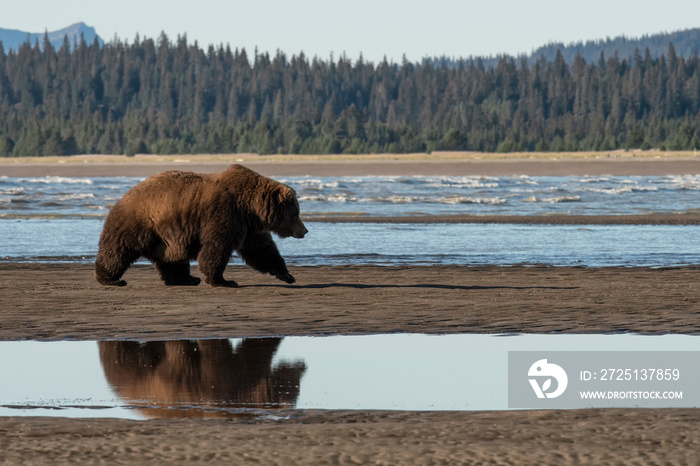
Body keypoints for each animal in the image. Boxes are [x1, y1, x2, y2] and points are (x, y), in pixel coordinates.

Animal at [95, 164, 306, 288]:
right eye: (296, 213)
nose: (304, 230)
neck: (250, 207)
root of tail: (122, 198)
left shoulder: (249, 228)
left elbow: (262, 251)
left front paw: (287, 275)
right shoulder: (225, 214)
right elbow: (217, 247)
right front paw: (223, 280)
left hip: (165, 236)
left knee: (171, 259)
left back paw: (186, 279)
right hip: (140, 223)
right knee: (118, 250)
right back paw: (111, 278)